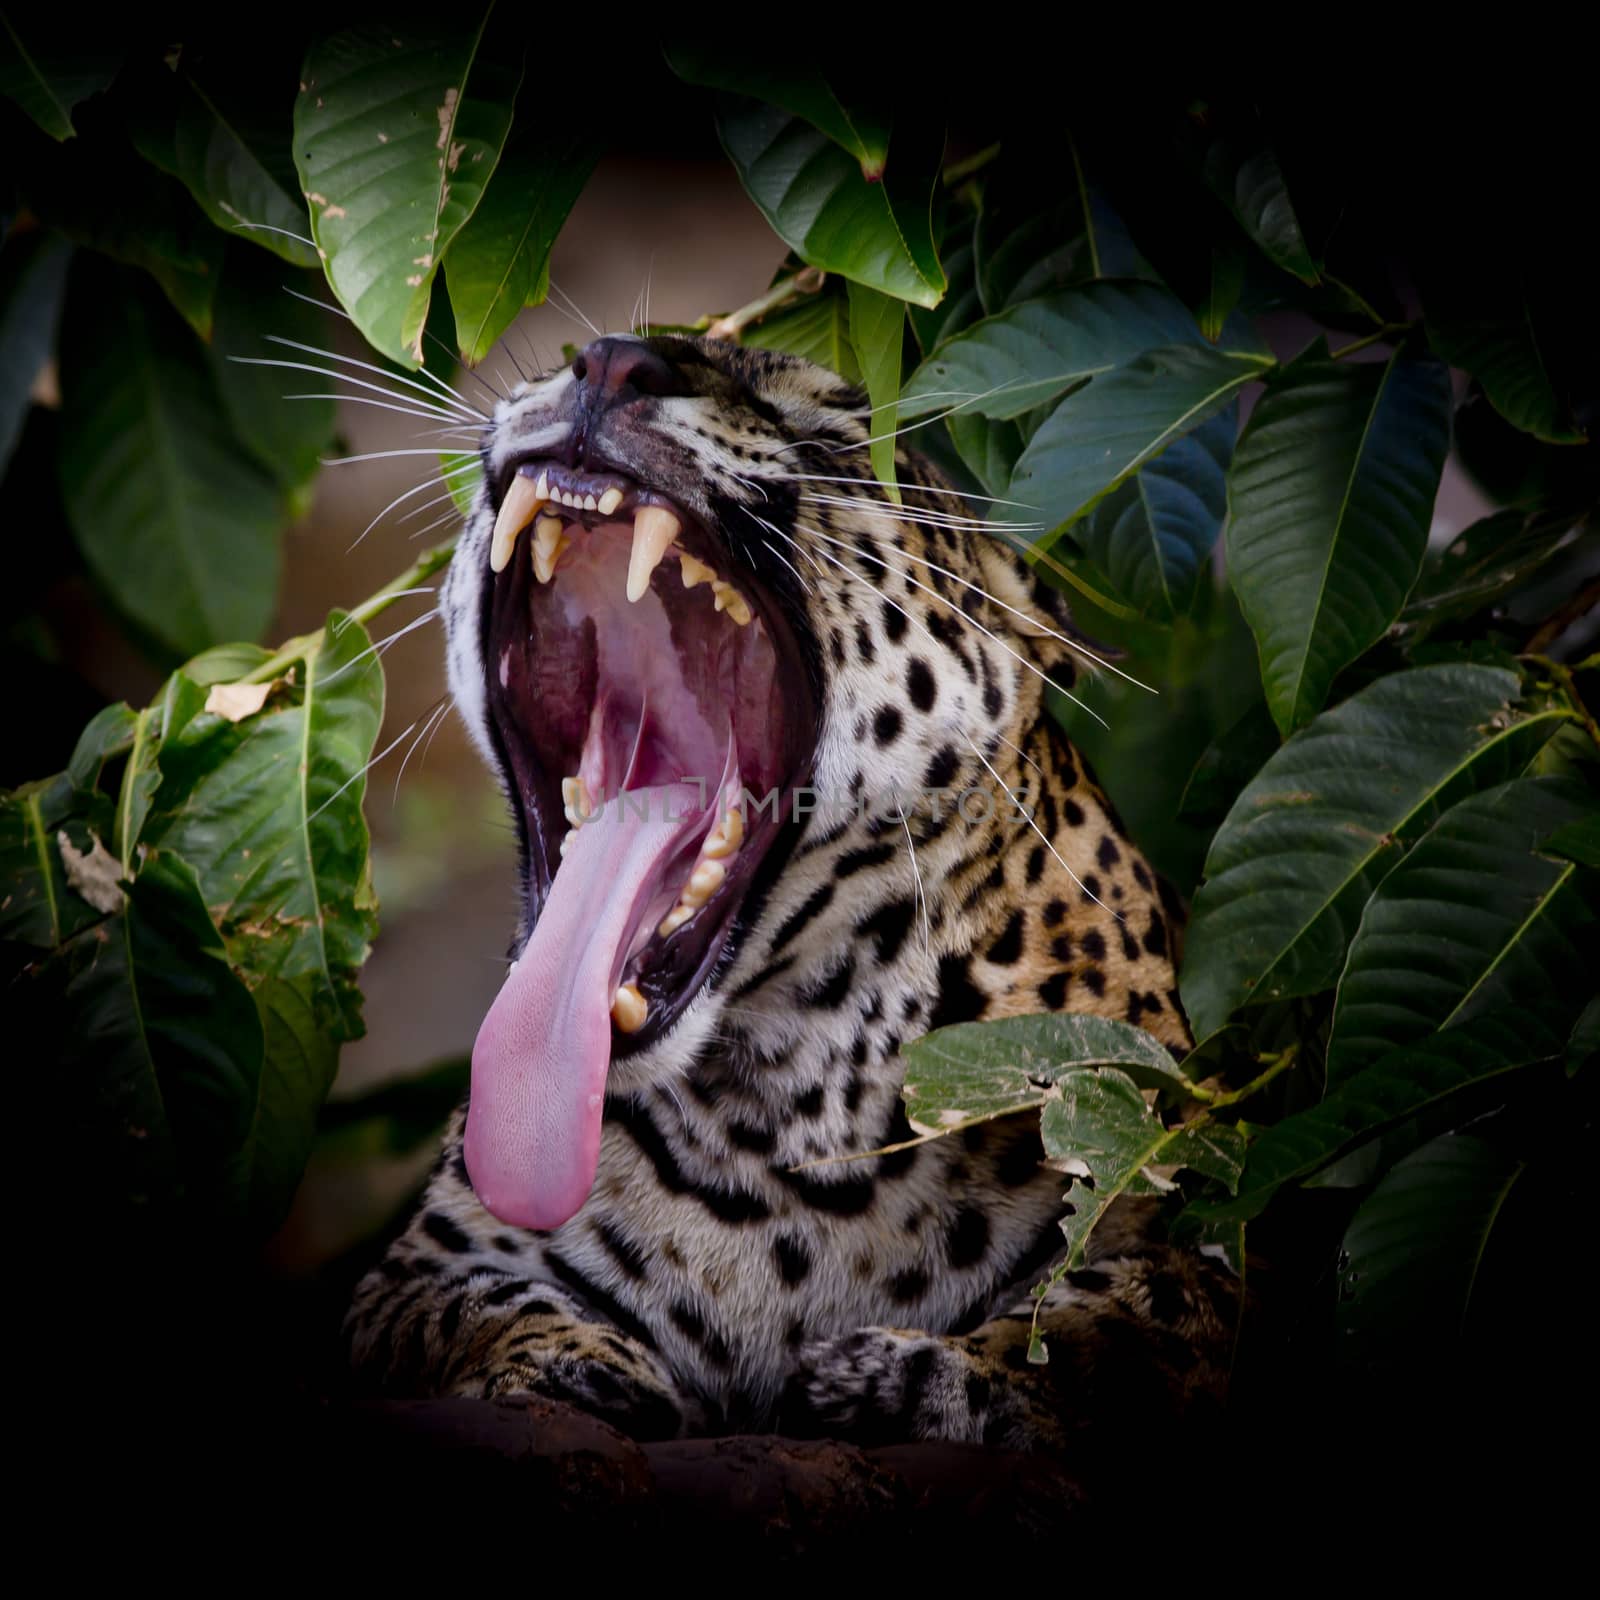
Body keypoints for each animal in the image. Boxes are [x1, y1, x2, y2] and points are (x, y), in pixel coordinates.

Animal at [344, 331, 1228, 1459]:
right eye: (584, 358)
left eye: (832, 434)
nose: (611, 363)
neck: (783, 1130)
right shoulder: (423, 1264)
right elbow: (463, 1305)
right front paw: (575, 1359)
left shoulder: (1184, 1204)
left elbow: (1134, 1309)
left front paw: (916, 1375)